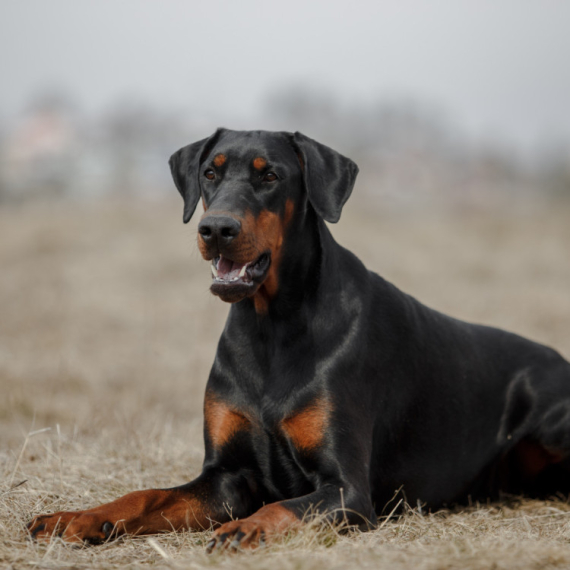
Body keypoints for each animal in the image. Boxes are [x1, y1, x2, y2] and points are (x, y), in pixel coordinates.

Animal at [28, 127, 568, 544]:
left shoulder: (348, 491)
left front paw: (245, 528)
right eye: (210, 173)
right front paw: (79, 516)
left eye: (270, 175)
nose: (215, 228)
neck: (271, 327)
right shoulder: (225, 478)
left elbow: (282, 506)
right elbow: (146, 494)